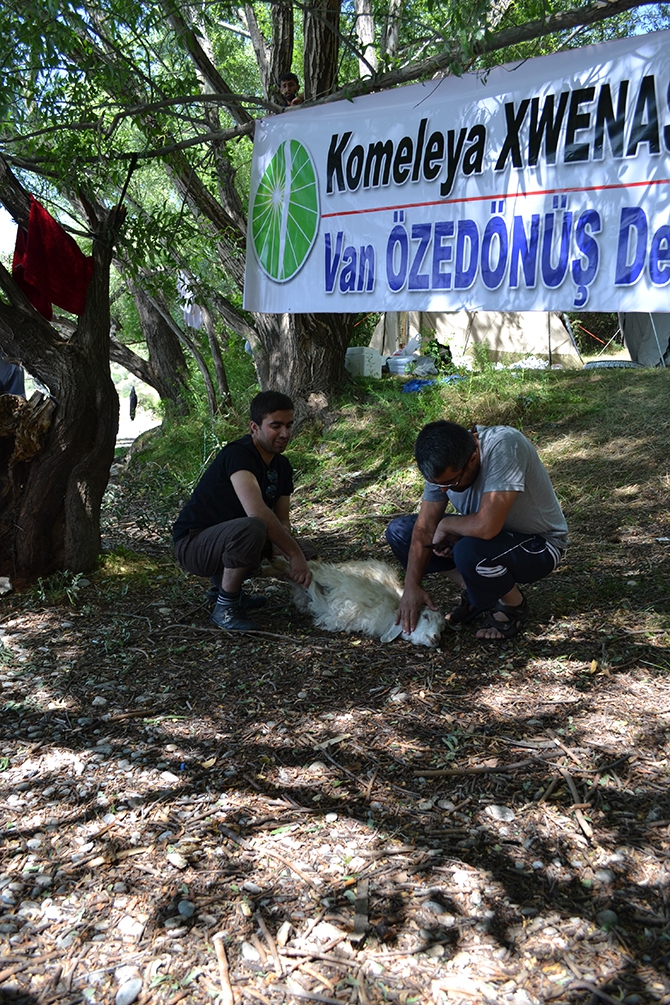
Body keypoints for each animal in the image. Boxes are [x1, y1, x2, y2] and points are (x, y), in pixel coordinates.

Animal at [261, 554, 445, 647]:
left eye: (443, 628)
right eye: (425, 616)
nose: (436, 637)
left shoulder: (328, 610)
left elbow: (308, 587)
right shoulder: (338, 582)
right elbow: (308, 574)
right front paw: (275, 565)